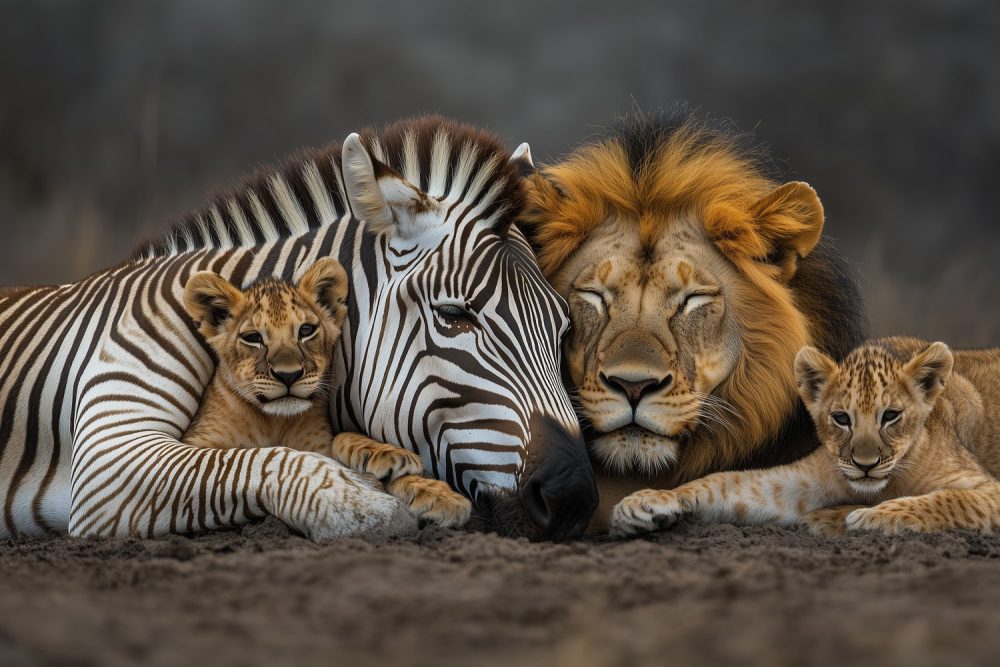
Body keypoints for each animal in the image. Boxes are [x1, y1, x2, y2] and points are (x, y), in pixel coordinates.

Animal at [0, 116, 598, 542]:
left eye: (562, 327)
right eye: (455, 316)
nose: (574, 497)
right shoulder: (109, 461)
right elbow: (264, 460)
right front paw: (371, 508)